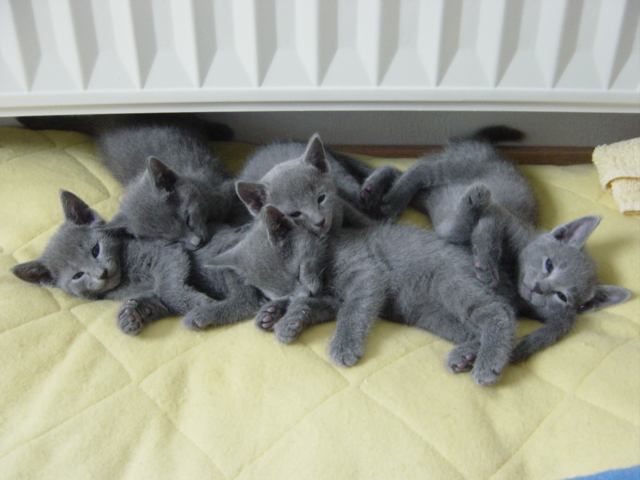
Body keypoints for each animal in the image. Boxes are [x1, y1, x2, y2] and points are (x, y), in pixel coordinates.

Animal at [11, 190, 263, 335]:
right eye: (77, 276)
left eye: (96, 250)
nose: (102, 273)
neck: (126, 279)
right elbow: (159, 300)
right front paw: (132, 315)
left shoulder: (167, 253)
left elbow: (168, 289)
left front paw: (197, 303)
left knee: (248, 301)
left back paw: (203, 315)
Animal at [360, 126, 631, 362]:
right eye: (549, 264)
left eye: (563, 296)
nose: (539, 288)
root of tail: (486, 146)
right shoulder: (499, 213)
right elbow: (486, 232)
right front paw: (487, 268)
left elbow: (548, 332)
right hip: (459, 166)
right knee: (419, 169)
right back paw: (389, 197)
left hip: (431, 193)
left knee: (402, 172)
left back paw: (378, 190)